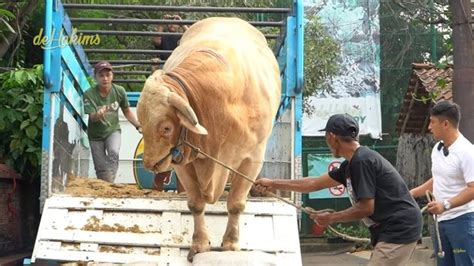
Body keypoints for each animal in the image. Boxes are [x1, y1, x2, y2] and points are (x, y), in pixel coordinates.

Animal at [135, 16, 280, 260]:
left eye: (166, 127)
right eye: (141, 125)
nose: (150, 163)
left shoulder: (252, 160)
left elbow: (236, 204)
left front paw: (231, 243)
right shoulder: (182, 160)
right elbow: (195, 204)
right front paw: (200, 243)